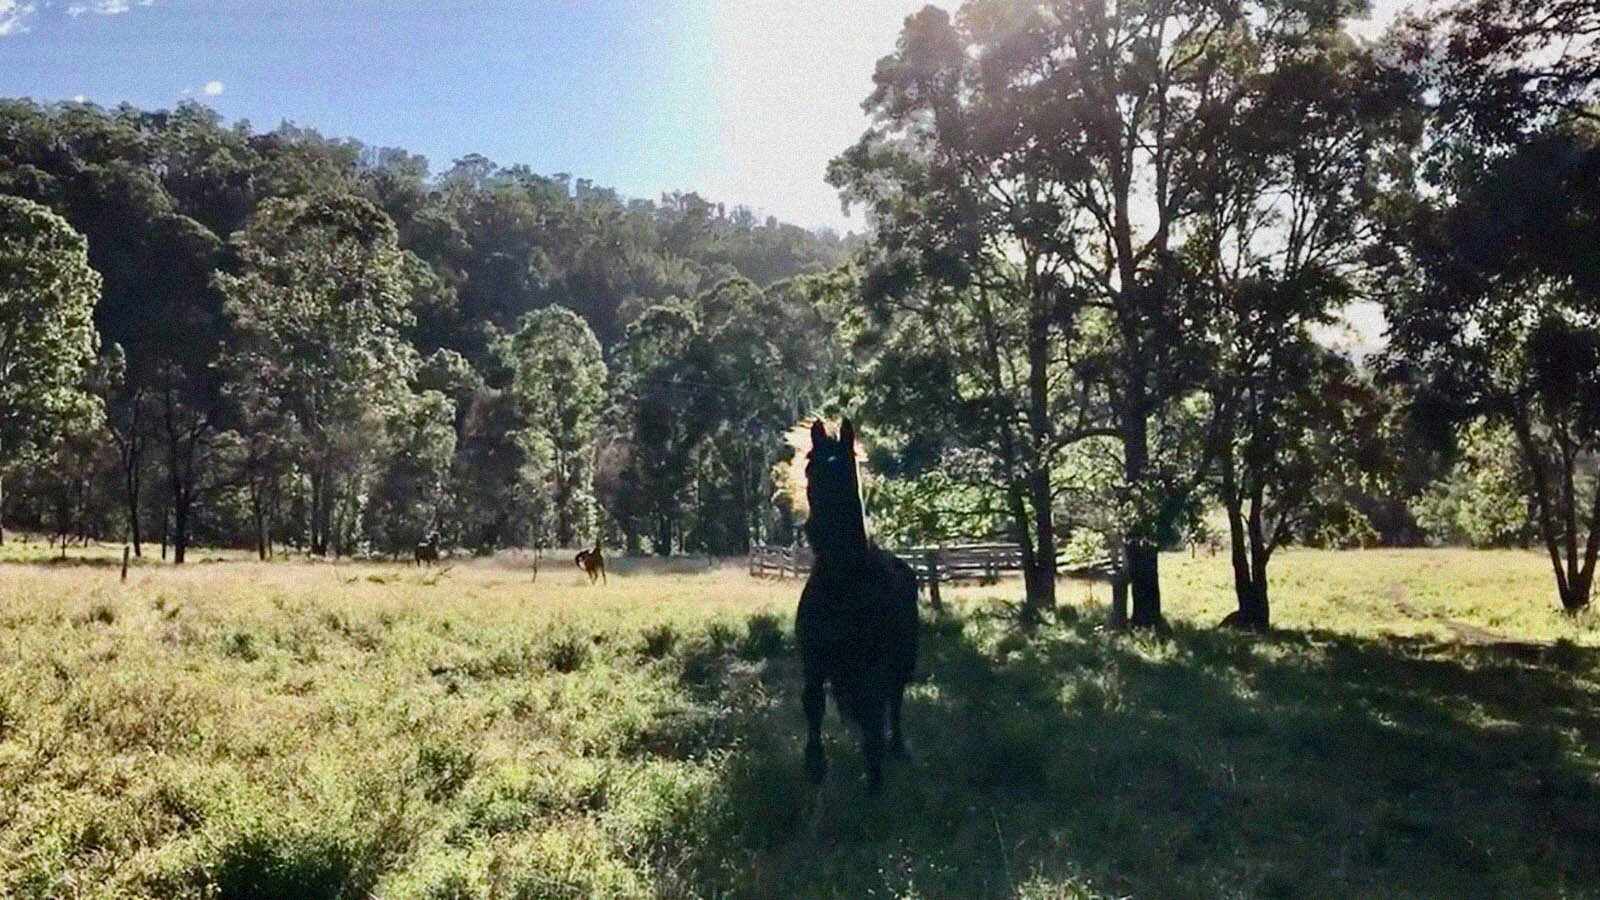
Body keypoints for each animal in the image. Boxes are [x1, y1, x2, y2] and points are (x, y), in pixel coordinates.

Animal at [796, 418, 919, 793]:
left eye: (847, 467)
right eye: (810, 466)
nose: (818, 531)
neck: (843, 583)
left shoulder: (873, 667)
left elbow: (873, 714)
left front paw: (874, 779)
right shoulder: (813, 660)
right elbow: (813, 704)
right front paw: (815, 763)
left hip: (901, 662)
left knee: (894, 701)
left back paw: (896, 747)